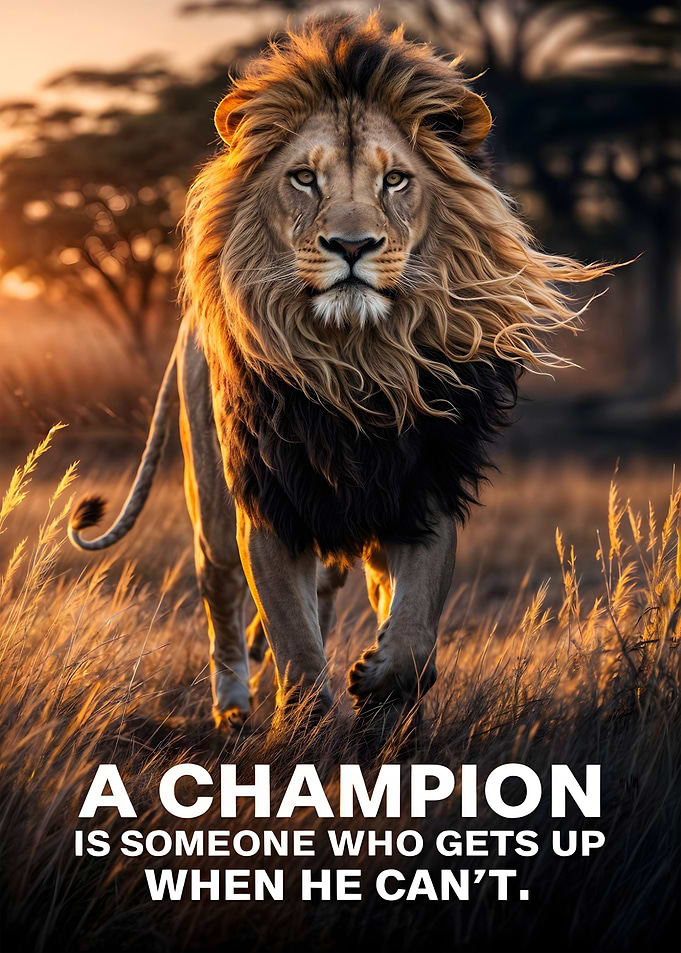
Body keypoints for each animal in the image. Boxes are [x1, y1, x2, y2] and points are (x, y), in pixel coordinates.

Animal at [68, 14, 609, 734]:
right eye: (304, 178)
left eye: (395, 180)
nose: (352, 246)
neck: (354, 364)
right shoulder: (269, 506)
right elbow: (294, 643)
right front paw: (306, 726)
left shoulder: (422, 494)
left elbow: (412, 634)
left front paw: (379, 688)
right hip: (210, 502)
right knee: (221, 594)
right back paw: (233, 707)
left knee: (331, 590)